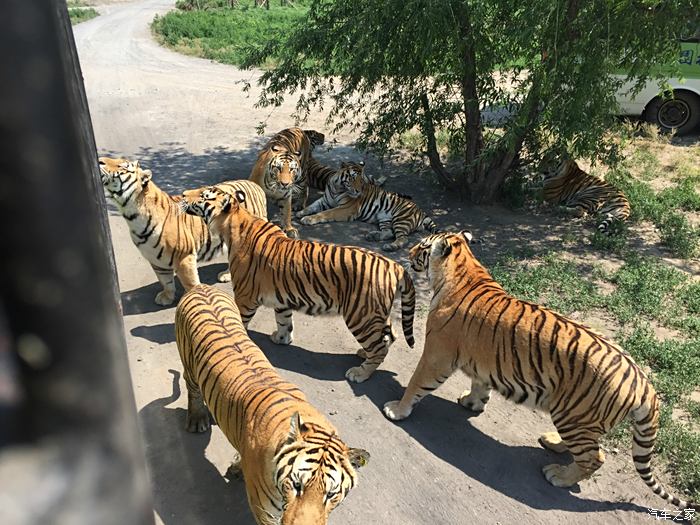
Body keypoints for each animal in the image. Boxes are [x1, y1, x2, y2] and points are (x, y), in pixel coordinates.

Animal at [101, 155, 268, 302]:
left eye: (123, 166)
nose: (100, 160)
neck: (132, 215)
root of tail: (253, 183)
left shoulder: (184, 256)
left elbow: (190, 282)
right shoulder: (154, 258)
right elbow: (165, 280)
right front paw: (167, 297)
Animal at [175, 286, 370, 524]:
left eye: (331, 494)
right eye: (296, 485)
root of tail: (201, 287)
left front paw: (237, 467)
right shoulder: (264, 511)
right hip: (189, 366)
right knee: (191, 387)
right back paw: (197, 420)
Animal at [180, 186, 416, 382]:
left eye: (204, 195)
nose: (182, 194)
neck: (235, 222)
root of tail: (395, 266)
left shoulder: (245, 298)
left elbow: (239, 323)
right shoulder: (281, 298)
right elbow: (284, 321)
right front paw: (281, 338)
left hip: (361, 316)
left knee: (380, 348)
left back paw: (359, 373)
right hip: (375, 314)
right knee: (390, 335)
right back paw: (363, 354)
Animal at [292, 161, 434, 251]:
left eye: (362, 180)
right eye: (353, 178)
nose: (358, 191)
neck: (337, 187)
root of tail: (420, 211)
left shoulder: (345, 209)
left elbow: (325, 213)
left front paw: (307, 219)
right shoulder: (325, 200)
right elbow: (312, 206)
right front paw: (301, 213)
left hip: (401, 218)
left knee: (403, 239)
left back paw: (390, 247)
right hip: (385, 219)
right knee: (389, 232)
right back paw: (373, 236)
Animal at [382, 231, 696, 510]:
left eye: (423, 246)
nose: (409, 251)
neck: (465, 268)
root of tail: (644, 384)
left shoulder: (437, 355)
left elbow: (416, 383)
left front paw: (396, 409)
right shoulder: (480, 361)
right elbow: (480, 383)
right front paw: (472, 402)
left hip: (573, 414)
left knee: (595, 457)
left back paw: (558, 475)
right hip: (580, 421)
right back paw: (554, 442)